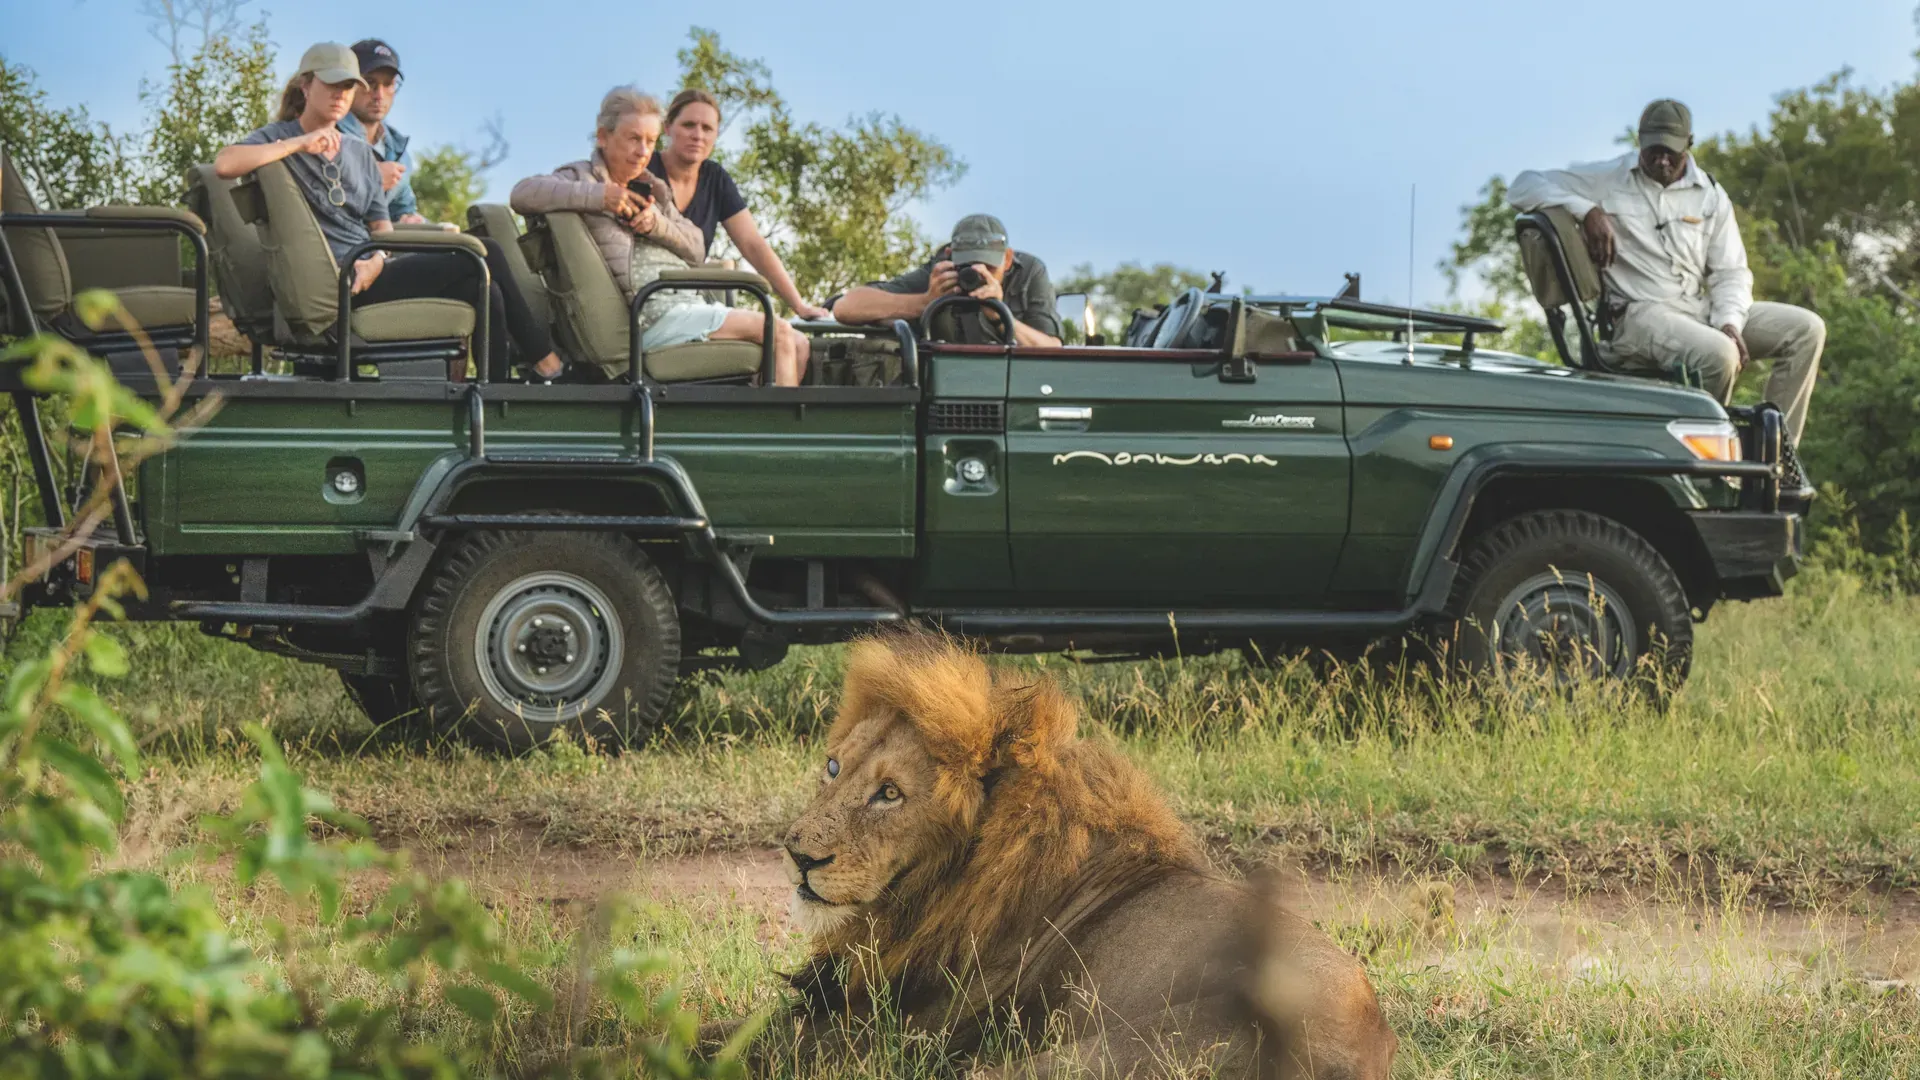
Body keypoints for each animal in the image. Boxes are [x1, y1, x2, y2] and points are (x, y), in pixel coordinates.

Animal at [766, 629, 1397, 1079]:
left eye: (890, 793)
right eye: (833, 767)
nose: (797, 854)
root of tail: (1365, 1041)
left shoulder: (901, 1034)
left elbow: (762, 1045)